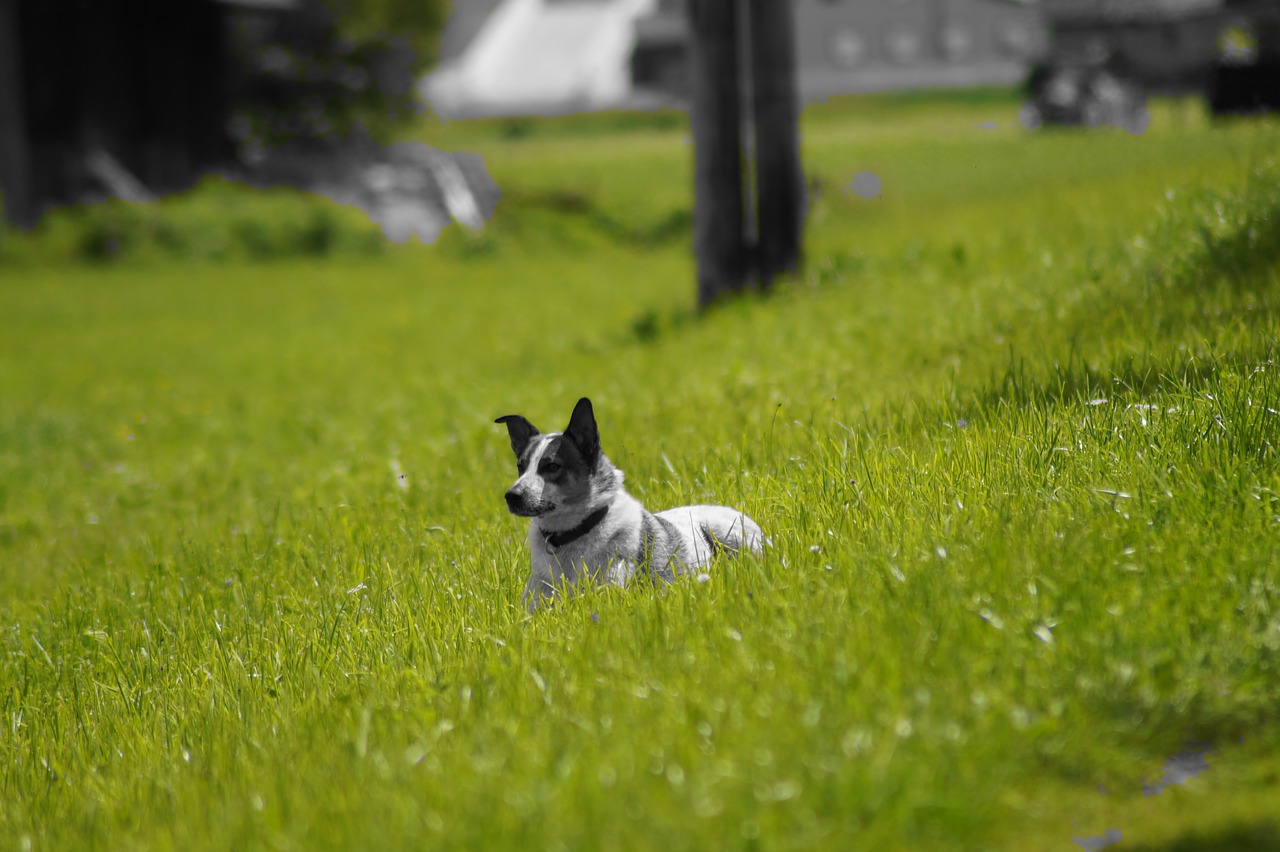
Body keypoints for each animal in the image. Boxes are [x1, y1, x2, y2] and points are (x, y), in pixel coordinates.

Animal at [494, 399, 762, 611]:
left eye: (551, 466)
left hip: (728, 534)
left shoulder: (608, 592)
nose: (511, 495)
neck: (569, 537)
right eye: (521, 466)